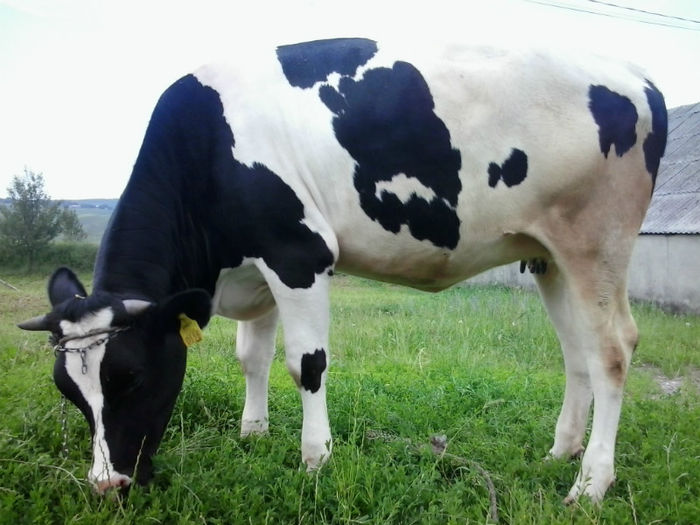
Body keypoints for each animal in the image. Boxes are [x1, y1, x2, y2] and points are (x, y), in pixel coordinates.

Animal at [18, 38, 667, 504]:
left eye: (132, 378)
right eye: (70, 392)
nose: (107, 484)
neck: (210, 144)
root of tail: (639, 77)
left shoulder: (299, 253)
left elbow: (306, 364)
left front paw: (315, 460)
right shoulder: (258, 267)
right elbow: (251, 358)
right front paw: (253, 435)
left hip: (597, 244)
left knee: (613, 351)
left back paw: (590, 484)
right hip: (550, 256)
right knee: (576, 353)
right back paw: (561, 453)